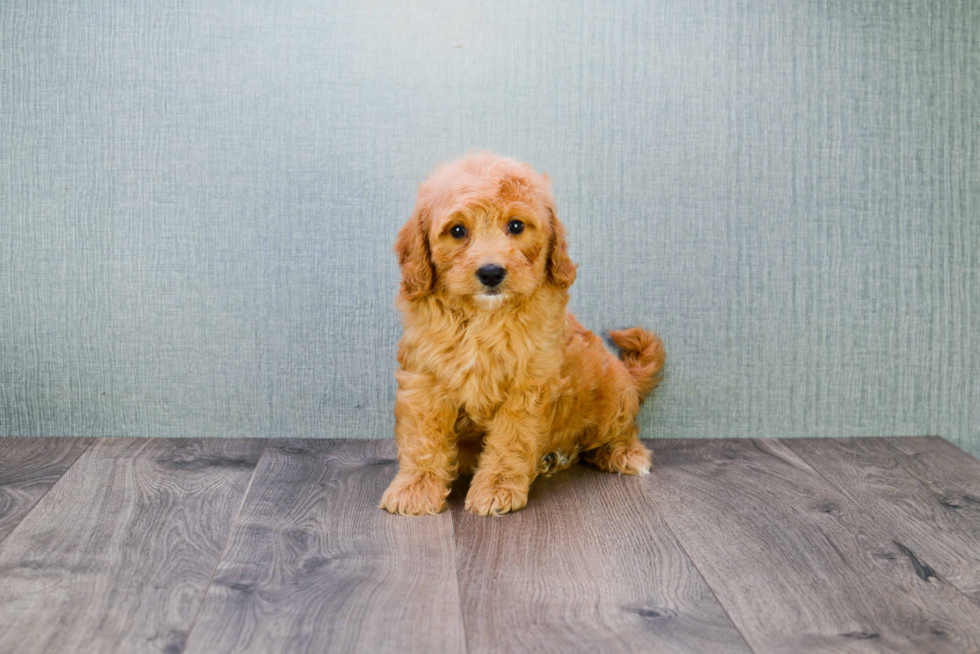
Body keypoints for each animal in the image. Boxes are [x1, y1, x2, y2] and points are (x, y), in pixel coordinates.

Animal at [378, 152, 664, 516]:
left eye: (516, 226)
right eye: (457, 231)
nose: (491, 272)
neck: (483, 317)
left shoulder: (528, 384)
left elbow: (511, 439)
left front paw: (497, 488)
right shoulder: (424, 377)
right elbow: (422, 436)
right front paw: (415, 489)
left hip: (612, 395)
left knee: (621, 428)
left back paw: (624, 453)